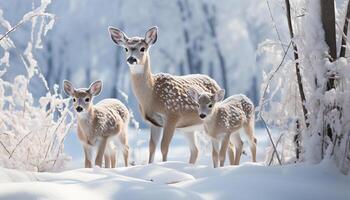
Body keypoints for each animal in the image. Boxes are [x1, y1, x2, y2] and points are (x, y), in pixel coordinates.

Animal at [108, 26, 220, 164]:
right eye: (126, 48)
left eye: (142, 48)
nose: (131, 59)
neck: (151, 95)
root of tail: (215, 82)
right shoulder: (154, 122)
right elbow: (152, 147)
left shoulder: (173, 115)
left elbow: (164, 147)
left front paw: (164, 165)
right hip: (188, 128)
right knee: (195, 150)